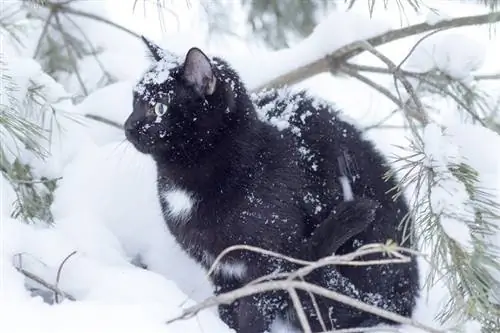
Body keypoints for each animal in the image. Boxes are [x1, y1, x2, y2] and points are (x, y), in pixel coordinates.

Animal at [124, 37, 418, 330]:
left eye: (159, 107)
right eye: (135, 101)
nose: (127, 126)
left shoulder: (271, 263)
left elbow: (254, 310)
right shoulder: (221, 271)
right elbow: (228, 306)